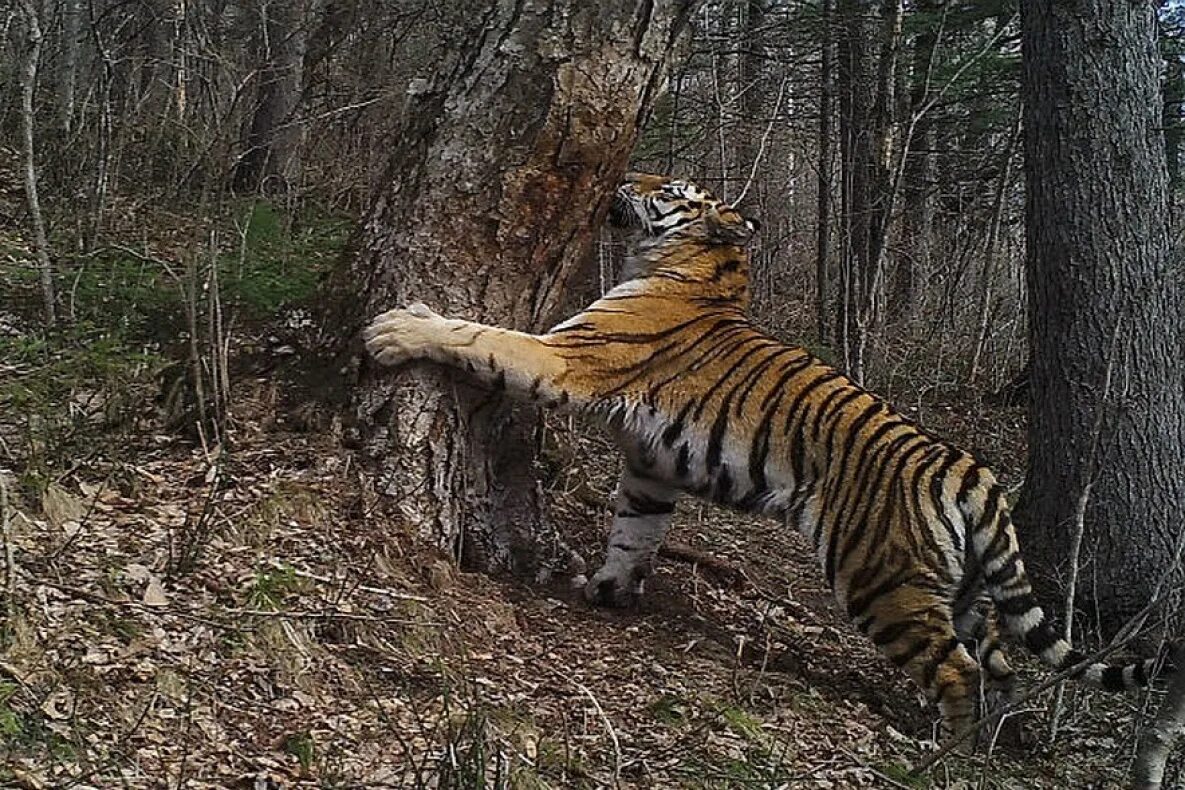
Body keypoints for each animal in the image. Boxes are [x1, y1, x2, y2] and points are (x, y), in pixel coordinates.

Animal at [362, 171, 1166, 743]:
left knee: (959, 672)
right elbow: (635, 531)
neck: (698, 268)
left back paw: (947, 756)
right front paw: (607, 590)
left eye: (668, 188)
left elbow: (483, 336)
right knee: (1000, 666)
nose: (624, 172)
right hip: (961, 590)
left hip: (882, 582)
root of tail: (974, 470)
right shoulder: (651, 466)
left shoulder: (568, 358)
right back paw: (994, 745)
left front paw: (400, 327)